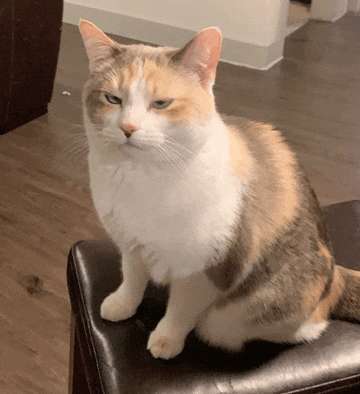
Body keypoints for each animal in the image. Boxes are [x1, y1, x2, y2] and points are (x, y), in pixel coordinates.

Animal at [80, 20, 360, 360]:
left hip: (238, 318)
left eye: (161, 103)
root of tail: (336, 274)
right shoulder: (130, 245)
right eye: (112, 99)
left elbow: (181, 310)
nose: (128, 128)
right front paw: (123, 303)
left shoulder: (206, 270)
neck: (143, 178)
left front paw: (166, 339)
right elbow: (132, 277)